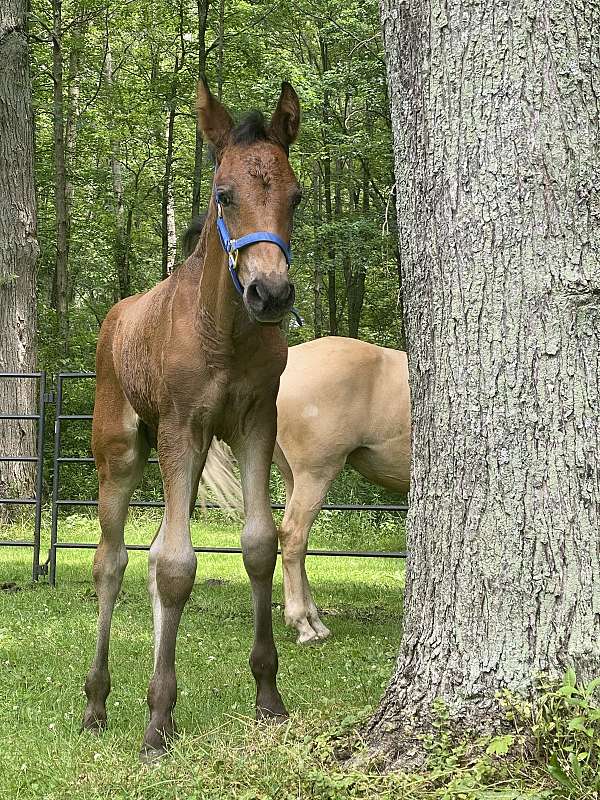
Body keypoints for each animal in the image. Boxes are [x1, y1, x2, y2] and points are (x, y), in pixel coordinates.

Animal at [82, 78, 302, 760]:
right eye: (224, 194)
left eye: (296, 196)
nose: (270, 293)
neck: (223, 332)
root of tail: (116, 318)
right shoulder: (183, 425)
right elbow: (178, 566)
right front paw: (156, 722)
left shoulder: (255, 422)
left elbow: (258, 544)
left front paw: (268, 696)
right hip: (124, 451)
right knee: (113, 562)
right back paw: (97, 703)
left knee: (151, 554)